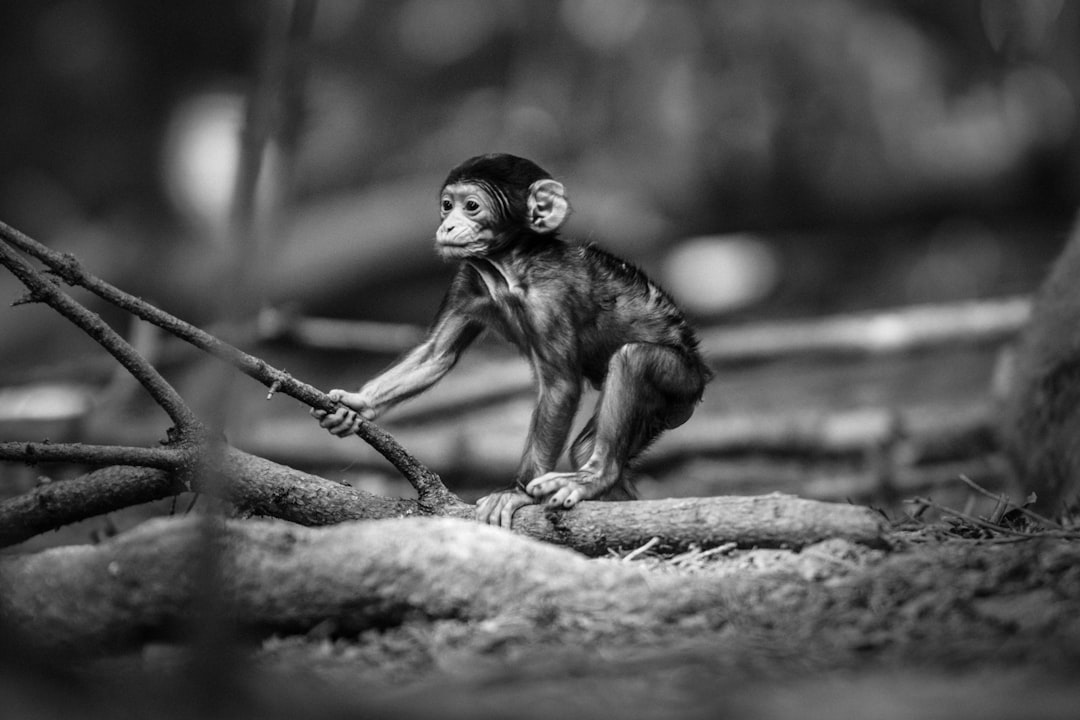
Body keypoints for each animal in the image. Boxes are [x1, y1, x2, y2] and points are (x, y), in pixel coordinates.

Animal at [315, 153, 708, 524]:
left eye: (472, 206)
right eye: (447, 205)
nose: (447, 225)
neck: (508, 268)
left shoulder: (550, 297)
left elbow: (561, 386)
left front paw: (518, 493)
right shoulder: (468, 280)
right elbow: (436, 355)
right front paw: (355, 405)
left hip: (682, 381)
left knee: (633, 359)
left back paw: (595, 477)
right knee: (587, 446)